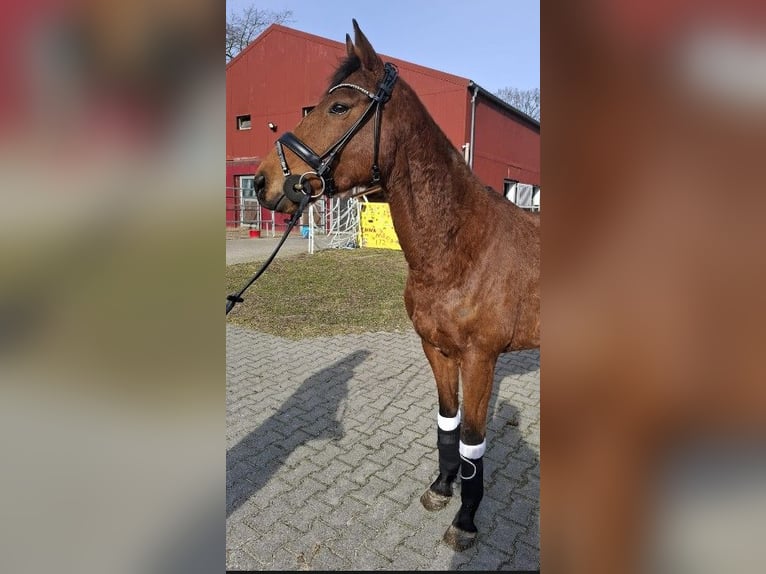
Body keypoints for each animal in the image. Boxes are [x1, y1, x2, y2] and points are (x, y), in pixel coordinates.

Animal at [253, 20, 540, 551]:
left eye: (339, 107)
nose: (263, 182)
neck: (461, 247)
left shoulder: (481, 359)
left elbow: (473, 441)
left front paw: (466, 521)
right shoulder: (437, 350)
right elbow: (448, 425)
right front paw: (442, 488)